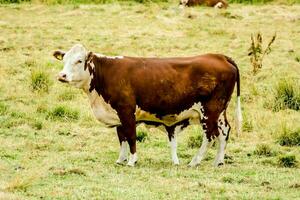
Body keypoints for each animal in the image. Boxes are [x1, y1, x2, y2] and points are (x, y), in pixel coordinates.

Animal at [53, 44, 241, 167]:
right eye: (64, 59)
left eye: (79, 60)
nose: (62, 75)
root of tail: (220, 56)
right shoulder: (117, 114)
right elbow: (122, 137)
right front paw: (120, 160)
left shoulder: (126, 111)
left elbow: (131, 136)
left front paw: (131, 161)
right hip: (220, 112)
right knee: (224, 132)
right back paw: (218, 161)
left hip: (209, 111)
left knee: (210, 136)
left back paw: (194, 161)